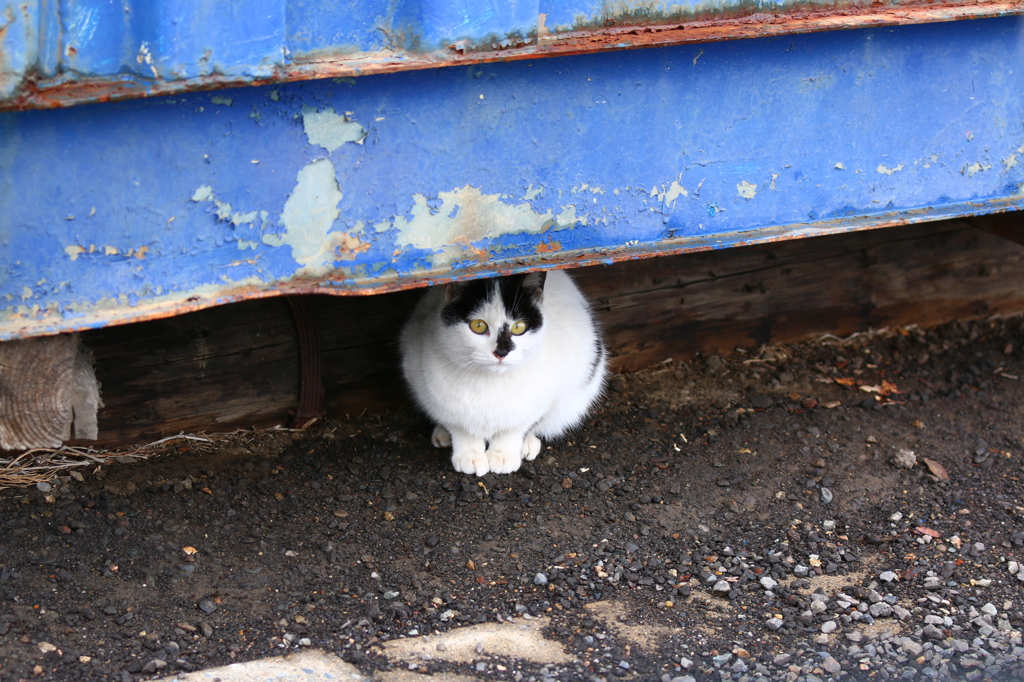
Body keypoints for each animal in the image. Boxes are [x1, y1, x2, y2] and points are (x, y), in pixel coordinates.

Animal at [399, 268, 606, 475]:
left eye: (519, 327)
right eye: (478, 325)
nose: (502, 352)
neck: (490, 381)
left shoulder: (552, 392)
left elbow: (517, 426)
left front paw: (502, 455)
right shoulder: (426, 385)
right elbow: (460, 426)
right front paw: (470, 455)